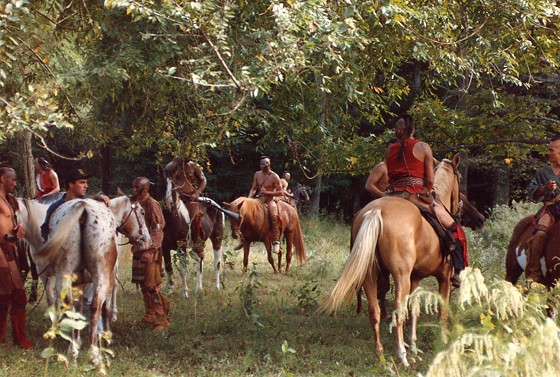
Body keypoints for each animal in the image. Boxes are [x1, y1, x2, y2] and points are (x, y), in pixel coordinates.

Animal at [322, 153, 462, 364]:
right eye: (460, 177)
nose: (459, 206)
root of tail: (376, 211)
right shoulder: (443, 276)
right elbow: (440, 310)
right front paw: (442, 339)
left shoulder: (415, 278)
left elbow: (414, 309)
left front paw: (413, 343)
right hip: (400, 276)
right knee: (397, 308)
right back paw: (401, 354)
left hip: (370, 275)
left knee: (374, 309)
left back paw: (379, 350)